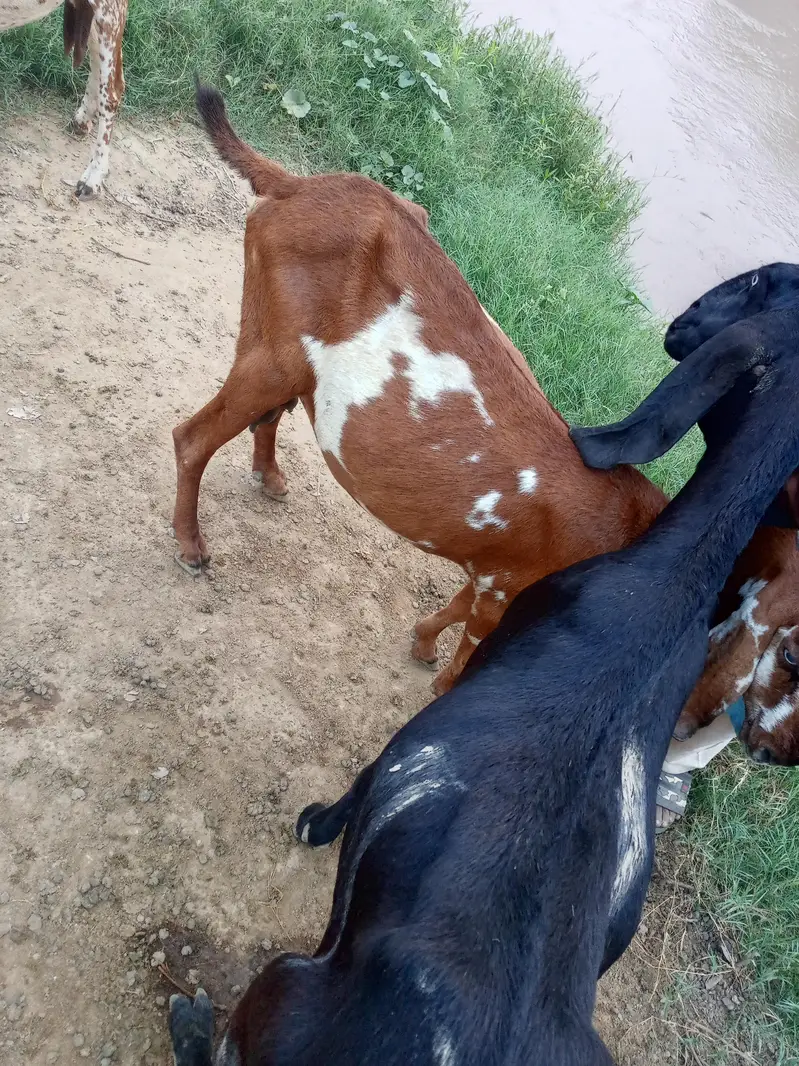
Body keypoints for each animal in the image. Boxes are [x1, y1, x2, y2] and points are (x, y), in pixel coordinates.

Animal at [168, 289, 799, 1063]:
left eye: (755, 288)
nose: (679, 327)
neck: (673, 581)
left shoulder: (426, 718)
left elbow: (388, 742)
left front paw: (315, 818)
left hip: (281, 984)